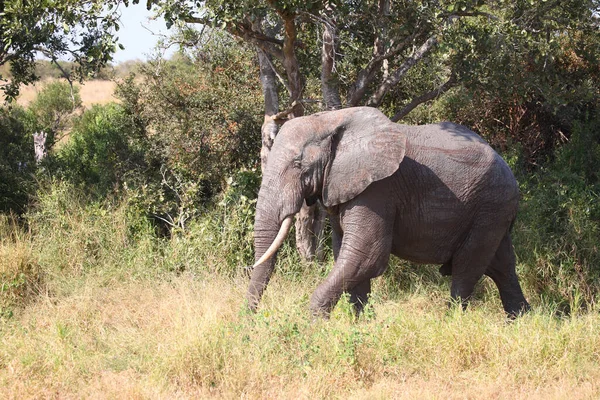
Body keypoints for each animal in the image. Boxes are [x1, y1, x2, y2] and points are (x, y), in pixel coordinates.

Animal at [247, 107, 528, 318]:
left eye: (298, 165)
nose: (250, 322)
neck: (331, 120)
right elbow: (348, 258)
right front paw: (361, 327)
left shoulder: (378, 189)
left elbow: (366, 255)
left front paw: (315, 326)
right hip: (493, 211)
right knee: (501, 266)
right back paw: (521, 320)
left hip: (491, 205)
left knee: (466, 269)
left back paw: (452, 322)